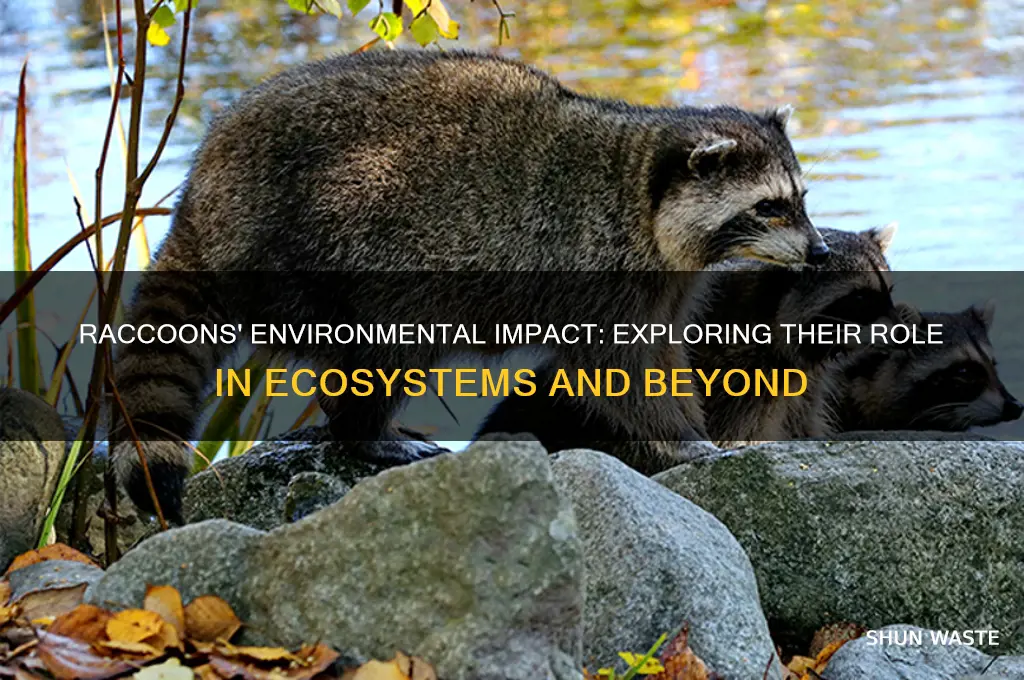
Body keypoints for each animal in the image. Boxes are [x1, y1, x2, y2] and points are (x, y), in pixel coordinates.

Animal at [112, 49, 827, 521]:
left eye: (800, 200)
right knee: (382, 353)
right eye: (768, 207)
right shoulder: (599, 270)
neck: (642, 183)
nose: (819, 251)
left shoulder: (663, 277)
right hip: (321, 254)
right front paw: (682, 437)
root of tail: (206, 192)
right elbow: (618, 367)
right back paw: (364, 431)